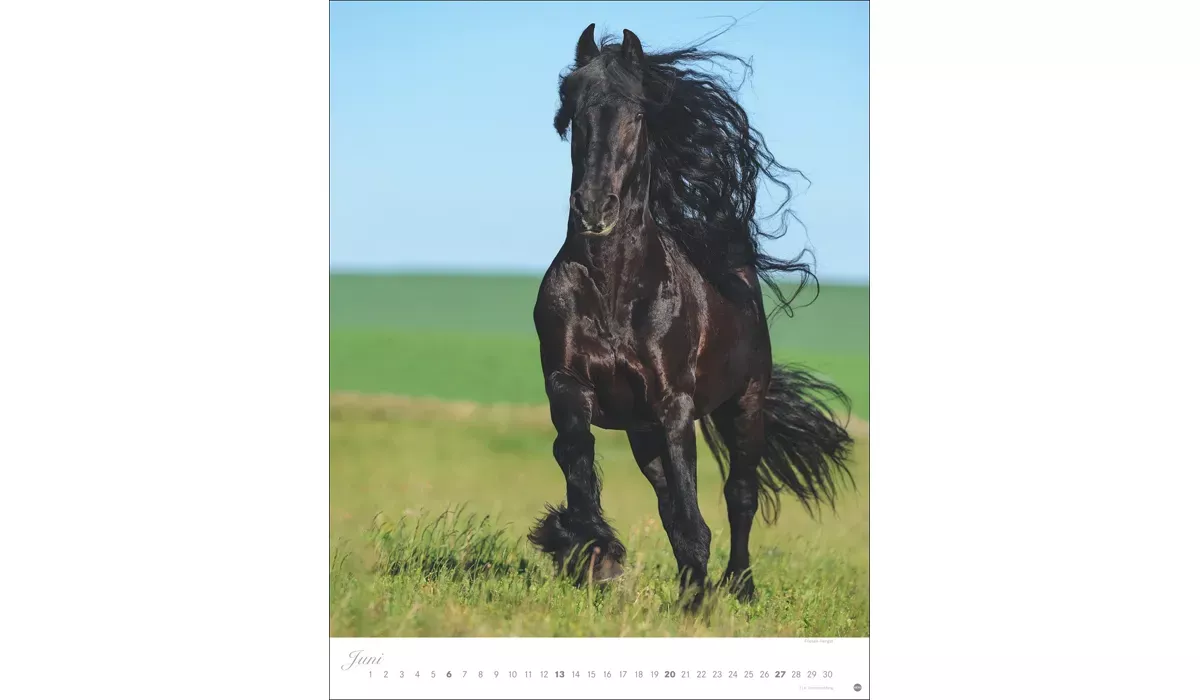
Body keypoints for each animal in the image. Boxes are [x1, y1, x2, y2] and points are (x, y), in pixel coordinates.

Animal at [528, 24, 855, 611]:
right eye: (573, 115)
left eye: (636, 116)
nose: (594, 208)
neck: (615, 290)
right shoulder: (568, 384)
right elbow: (577, 457)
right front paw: (591, 551)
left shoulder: (673, 403)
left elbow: (692, 510)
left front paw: (695, 600)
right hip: (643, 432)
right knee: (666, 497)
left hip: (743, 405)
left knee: (740, 495)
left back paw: (739, 587)